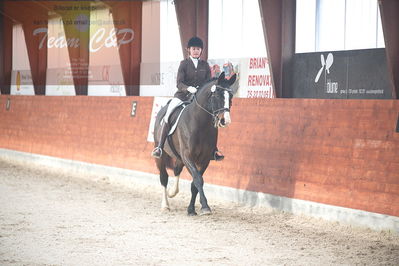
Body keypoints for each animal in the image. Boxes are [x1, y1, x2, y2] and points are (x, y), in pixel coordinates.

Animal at [152, 71, 234, 215]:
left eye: (231, 96)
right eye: (217, 95)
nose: (225, 120)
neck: (200, 123)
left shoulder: (204, 159)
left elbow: (194, 184)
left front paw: (191, 209)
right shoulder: (187, 156)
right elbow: (198, 180)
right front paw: (205, 206)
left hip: (179, 157)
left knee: (177, 170)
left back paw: (172, 192)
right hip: (161, 155)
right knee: (164, 177)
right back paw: (165, 205)